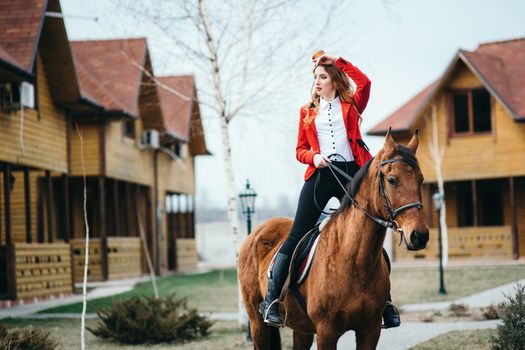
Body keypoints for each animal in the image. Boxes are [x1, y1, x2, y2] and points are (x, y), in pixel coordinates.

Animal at [239, 130, 428, 348]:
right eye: (391, 180)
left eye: (421, 180)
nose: (420, 235)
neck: (353, 260)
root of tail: (256, 232)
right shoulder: (326, 332)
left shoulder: (370, 331)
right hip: (257, 323)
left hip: (301, 329)